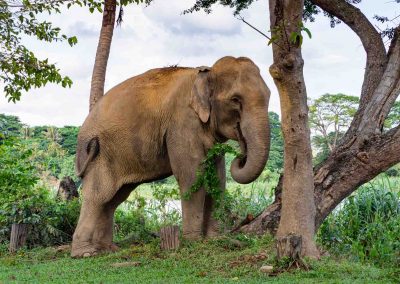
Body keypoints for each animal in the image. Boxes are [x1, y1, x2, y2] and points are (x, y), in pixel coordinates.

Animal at [72, 55, 272, 258]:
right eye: (235, 100)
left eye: (269, 95)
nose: (241, 153)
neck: (207, 72)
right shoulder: (182, 121)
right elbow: (192, 177)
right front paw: (193, 241)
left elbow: (218, 179)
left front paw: (215, 239)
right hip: (99, 155)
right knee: (98, 196)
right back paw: (85, 253)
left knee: (114, 199)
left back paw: (107, 249)